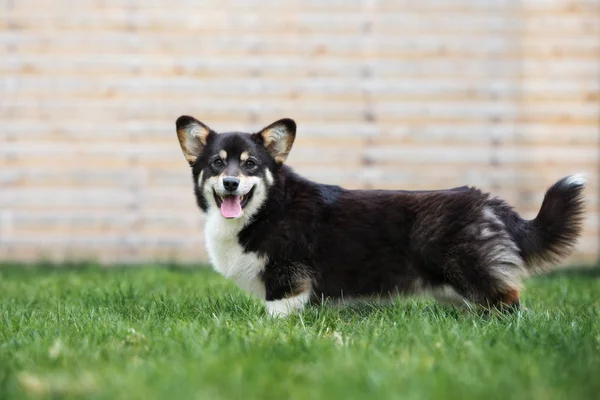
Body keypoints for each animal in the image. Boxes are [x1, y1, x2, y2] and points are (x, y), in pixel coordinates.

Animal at [175, 115, 584, 316]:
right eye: (216, 164)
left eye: (250, 165)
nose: (230, 183)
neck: (268, 209)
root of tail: (488, 201)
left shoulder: (287, 282)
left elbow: (275, 317)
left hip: (469, 270)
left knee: (509, 302)